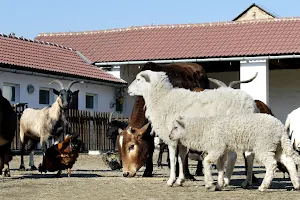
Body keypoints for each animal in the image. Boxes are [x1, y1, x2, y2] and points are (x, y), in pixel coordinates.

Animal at [126, 70, 258, 186]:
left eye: (138, 79)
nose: (128, 89)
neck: (162, 99)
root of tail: (251, 104)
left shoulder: (171, 138)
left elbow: (173, 159)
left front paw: (171, 180)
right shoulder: (181, 139)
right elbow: (181, 158)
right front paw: (180, 180)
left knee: (243, 156)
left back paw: (238, 181)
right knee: (241, 156)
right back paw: (234, 181)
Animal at [169, 113, 300, 191]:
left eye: (175, 128)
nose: (169, 136)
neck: (202, 130)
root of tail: (280, 128)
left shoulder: (217, 147)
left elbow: (207, 161)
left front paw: (210, 183)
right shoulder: (222, 150)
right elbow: (220, 167)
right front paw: (219, 185)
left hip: (264, 145)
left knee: (272, 164)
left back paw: (263, 186)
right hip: (277, 146)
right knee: (289, 161)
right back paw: (296, 184)